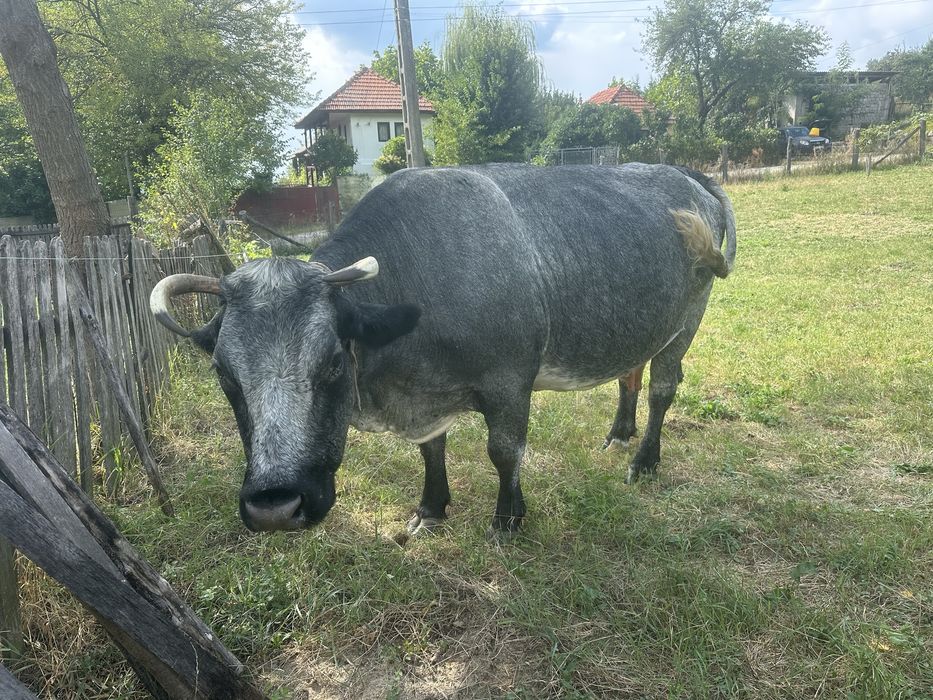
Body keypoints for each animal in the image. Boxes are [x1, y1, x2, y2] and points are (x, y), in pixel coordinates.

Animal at [150, 163, 736, 537]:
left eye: (334, 362)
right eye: (224, 375)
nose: (275, 507)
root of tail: (684, 173)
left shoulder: (509, 382)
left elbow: (505, 452)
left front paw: (508, 519)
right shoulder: (426, 394)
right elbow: (431, 449)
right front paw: (431, 508)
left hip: (689, 318)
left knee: (662, 388)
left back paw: (644, 460)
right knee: (630, 375)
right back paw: (618, 433)